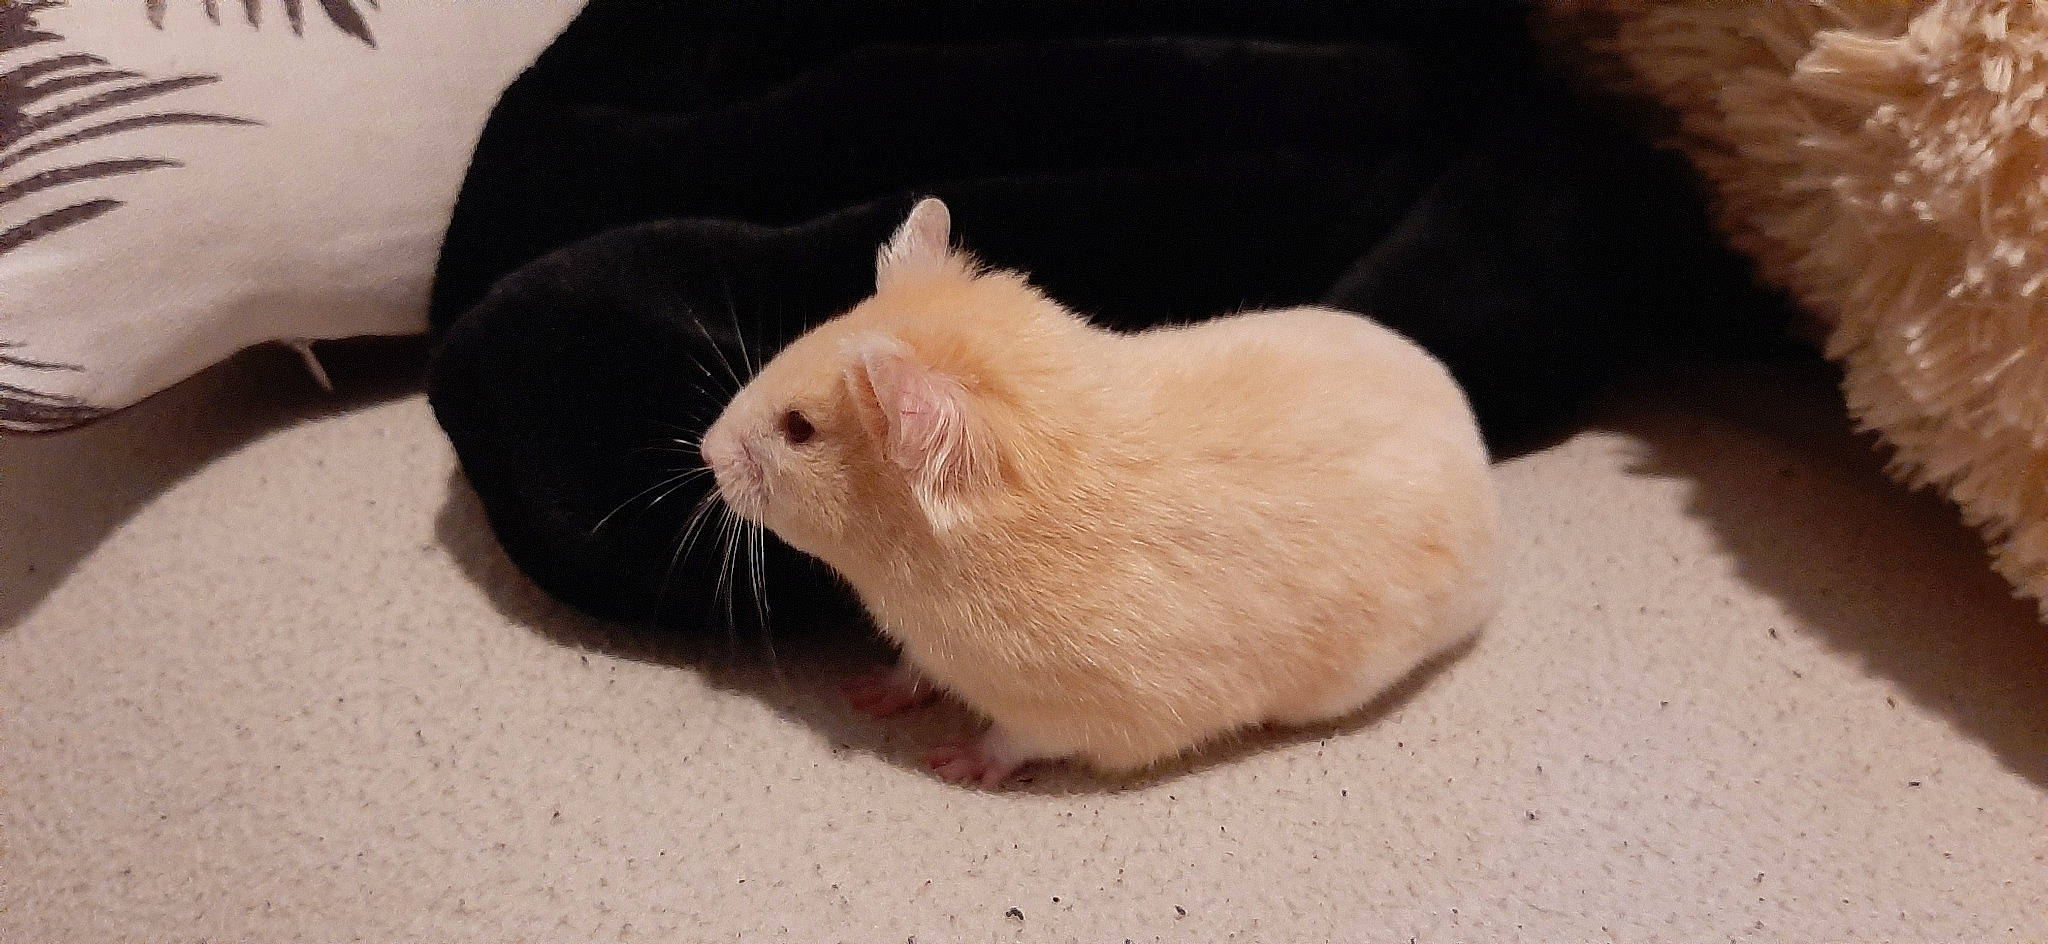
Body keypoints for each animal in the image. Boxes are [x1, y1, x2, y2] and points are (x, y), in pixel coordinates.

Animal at [700, 198, 1500, 786]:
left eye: (800, 429)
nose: (704, 451)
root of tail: (1474, 440)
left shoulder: (1075, 714)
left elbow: (1010, 740)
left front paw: (953, 763)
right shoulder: (927, 650)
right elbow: (910, 669)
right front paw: (865, 695)